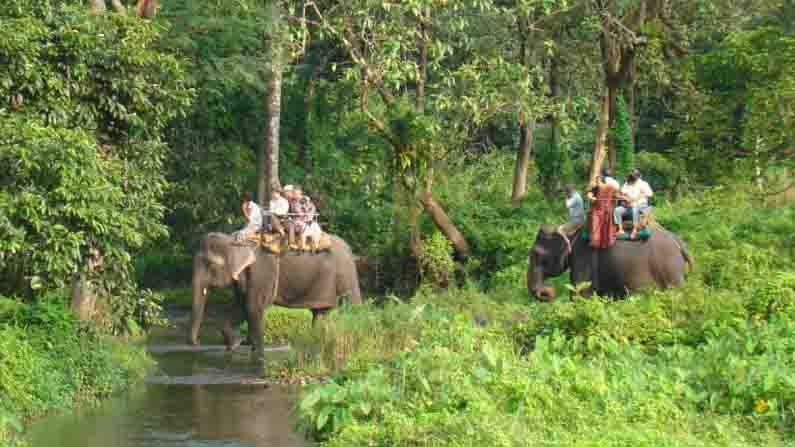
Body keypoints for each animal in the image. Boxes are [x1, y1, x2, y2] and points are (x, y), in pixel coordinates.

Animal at [188, 231, 362, 356]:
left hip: (346, 275)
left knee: (353, 307)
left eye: (210, 264)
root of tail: (350, 249)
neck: (234, 239)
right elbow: (241, 307)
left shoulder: (262, 272)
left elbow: (253, 308)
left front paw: (257, 354)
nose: (197, 343)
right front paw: (235, 344)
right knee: (320, 314)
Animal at [528, 228, 692, 300]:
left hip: (671, 270)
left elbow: (580, 293)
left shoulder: (583, 257)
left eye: (536, 254)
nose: (548, 291)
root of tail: (679, 243)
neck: (571, 233)